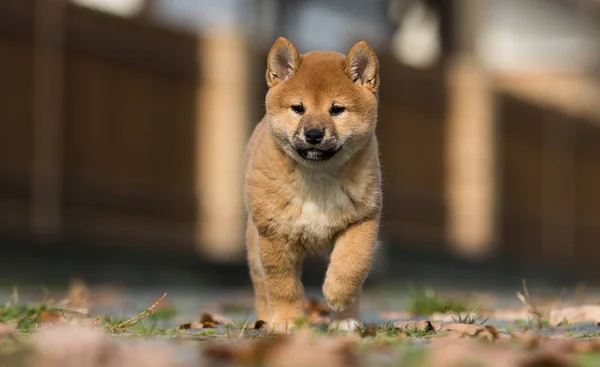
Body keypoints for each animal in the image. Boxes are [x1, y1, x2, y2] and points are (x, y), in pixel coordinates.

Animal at [243, 37, 380, 334]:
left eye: (336, 109)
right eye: (298, 108)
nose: (314, 134)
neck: (318, 177)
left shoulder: (362, 221)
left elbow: (351, 264)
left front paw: (337, 297)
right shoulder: (275, 236)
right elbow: (283, 287)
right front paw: (287, 321)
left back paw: (346, 320)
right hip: (254, 243)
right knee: (260, 285)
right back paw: (265, 318)